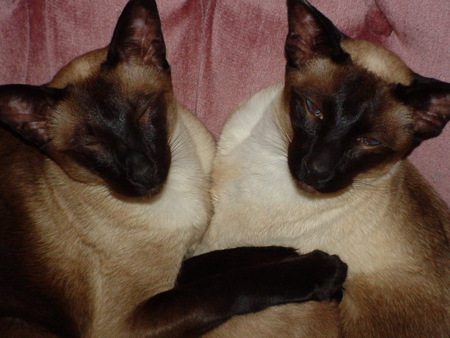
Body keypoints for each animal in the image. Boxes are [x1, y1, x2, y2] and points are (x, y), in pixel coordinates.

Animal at [0, 0, 348, 336]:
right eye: (92, 144)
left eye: (142, 112)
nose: (143, 173)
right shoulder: (127, 322)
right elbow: (227, 285)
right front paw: (324, 270)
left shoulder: (183, 260)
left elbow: (230, 257)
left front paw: (299, 255)